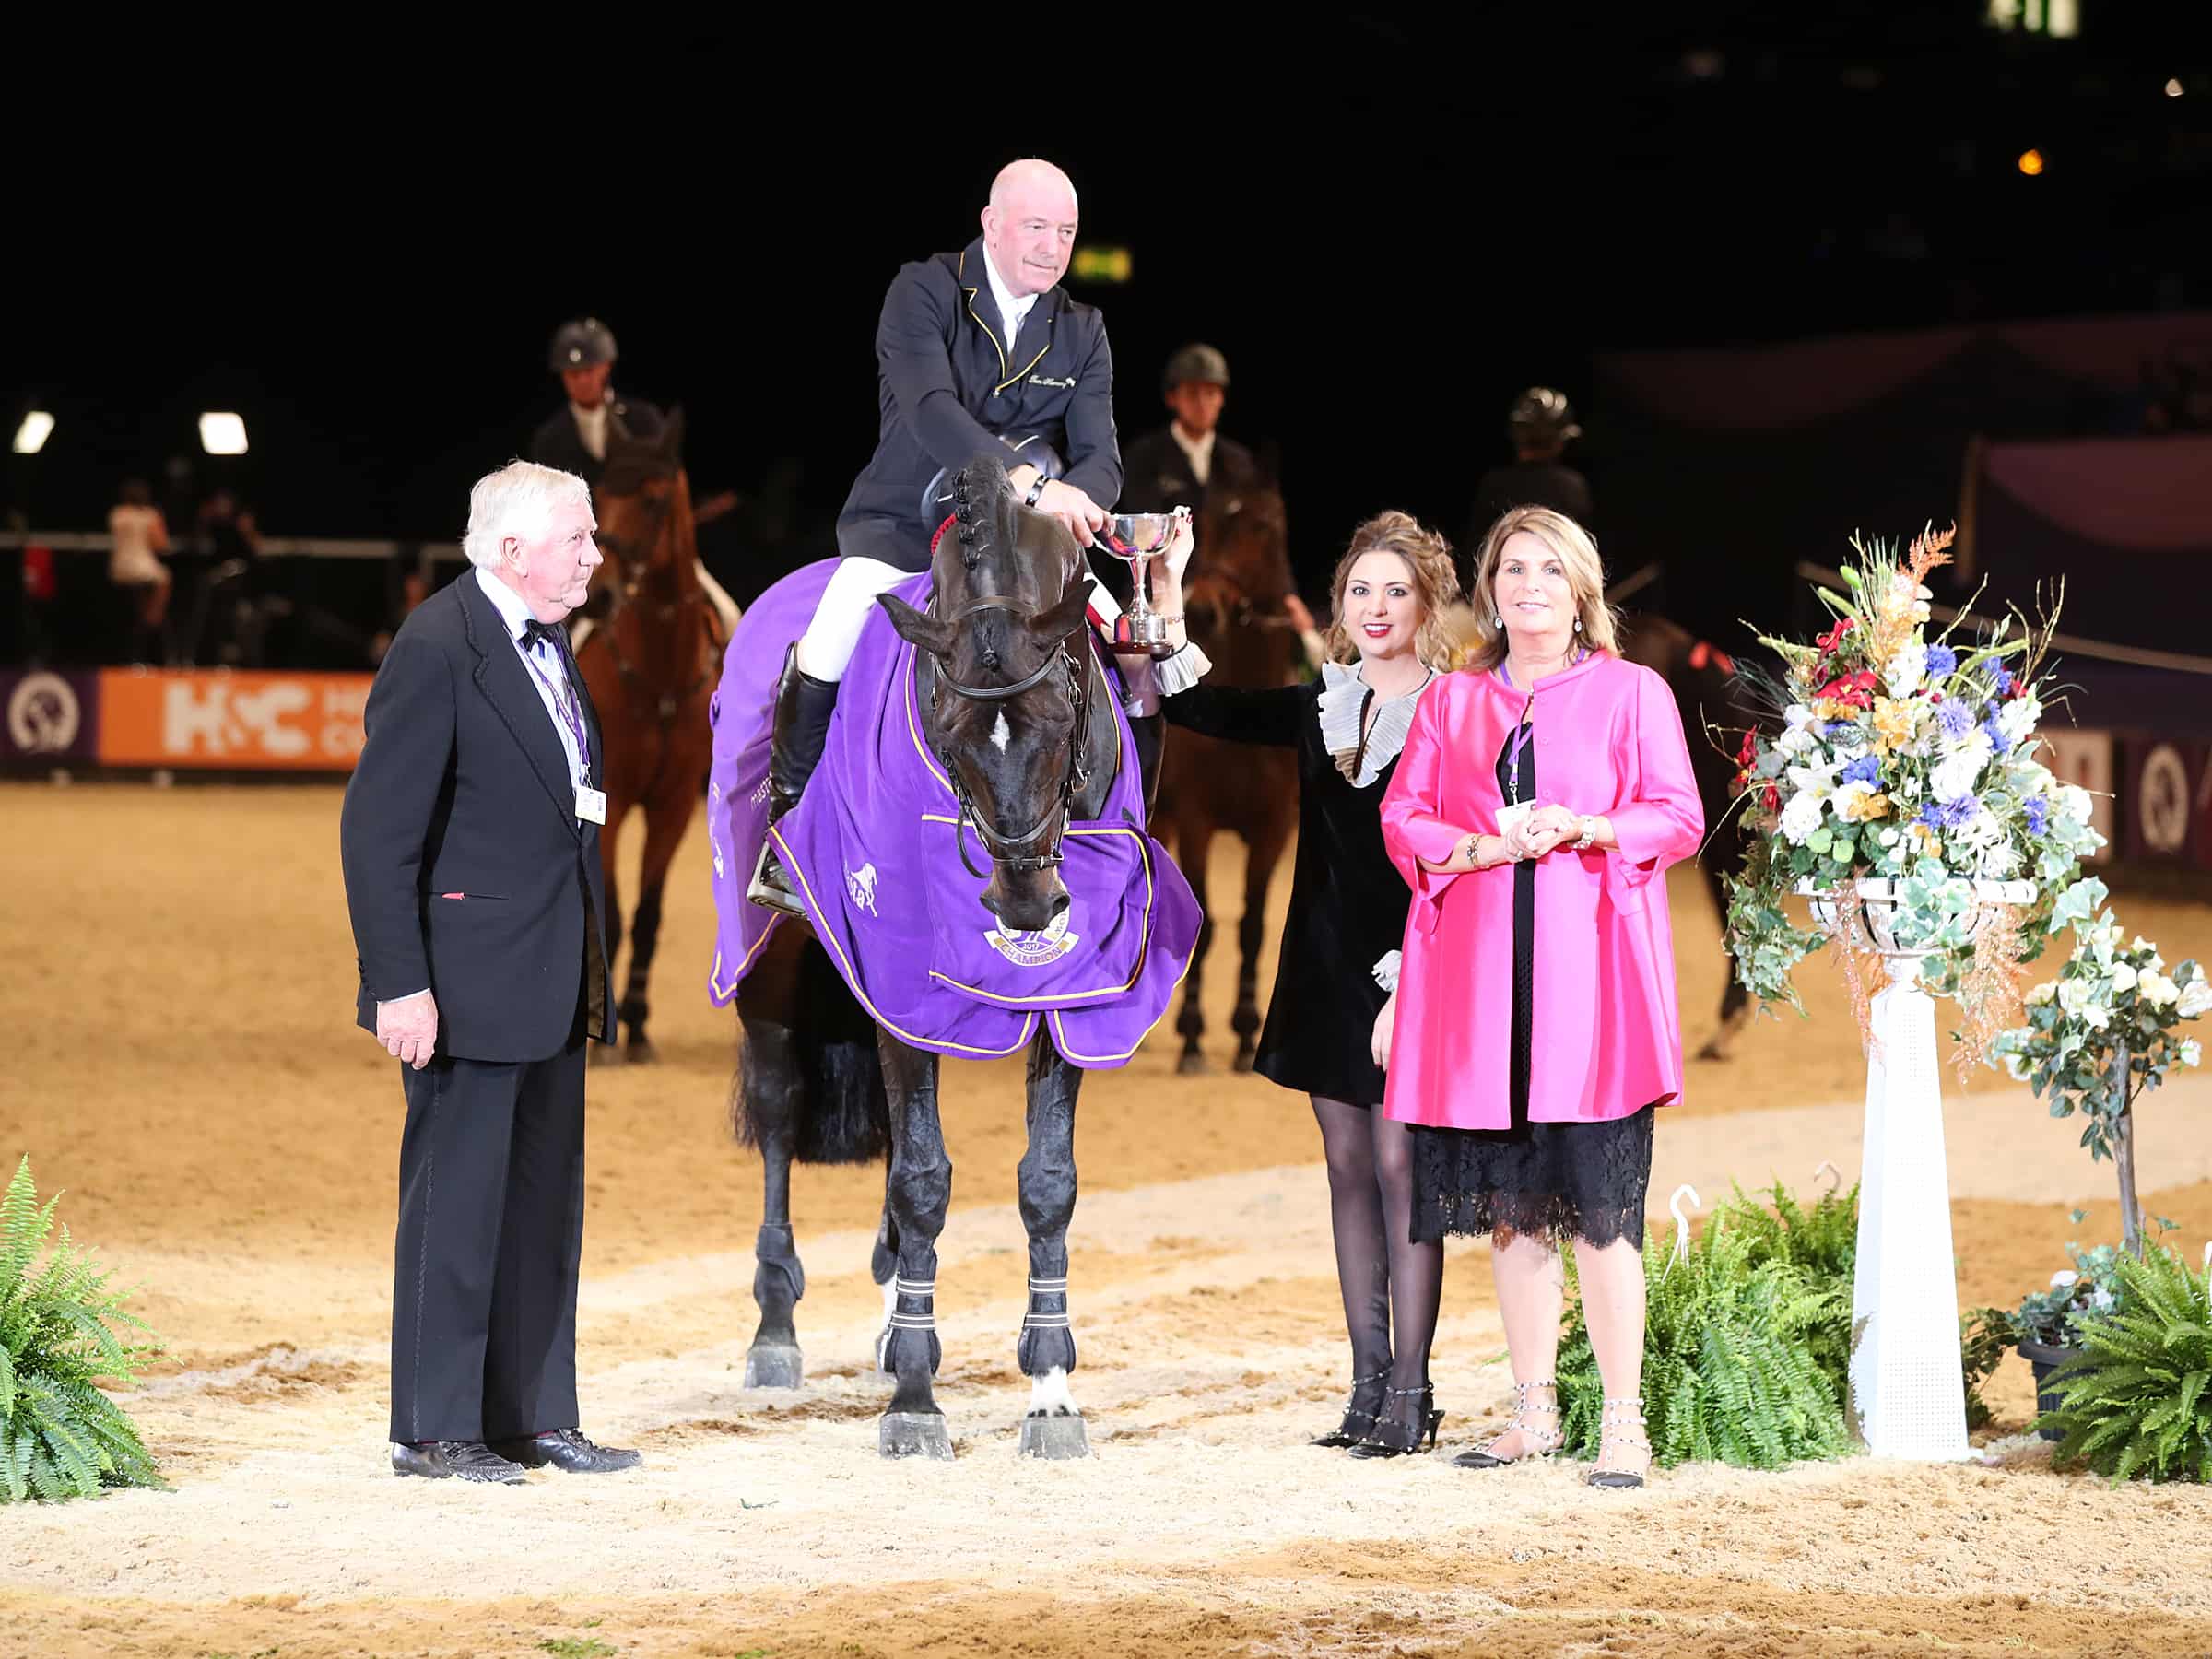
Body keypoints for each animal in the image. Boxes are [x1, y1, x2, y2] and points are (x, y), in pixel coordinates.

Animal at [717, 454, 1185, 1461]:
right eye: (953, 729)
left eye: (1066, 713)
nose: (1029, 905)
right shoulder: (900, 968)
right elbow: (925, 1180)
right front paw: (914, 1400)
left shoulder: (1074, 987)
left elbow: (1045, 1183)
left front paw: (1050, 1392)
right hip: (771, 956)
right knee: (778, 1108)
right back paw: (775, 1330)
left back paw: (894, 1305)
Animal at [1152, 482, 1303, 1072]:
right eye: (1209, 526)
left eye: (1264, 527)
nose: (1201, 607)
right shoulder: (1197, 822)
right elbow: (1210, 921)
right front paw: (1194, 1036)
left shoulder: (1273, 831)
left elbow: (1253, 926)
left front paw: (1244, 1032)